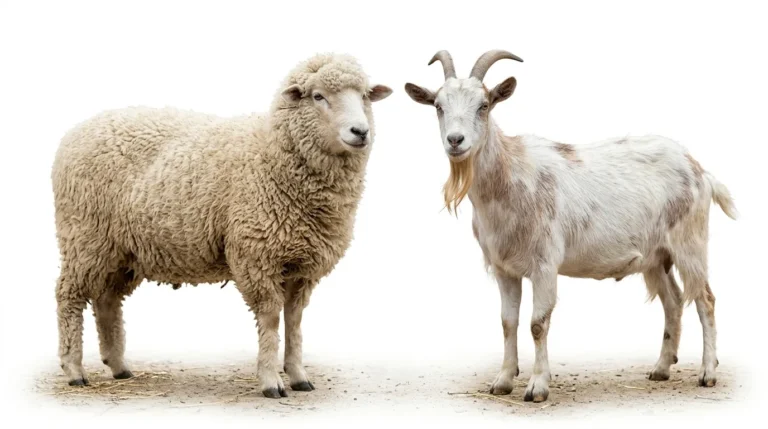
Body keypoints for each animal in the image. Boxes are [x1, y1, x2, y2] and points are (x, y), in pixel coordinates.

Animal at [51, 53, 392, 398]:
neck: (273, 152)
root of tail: (75, 131)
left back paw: (119, 367)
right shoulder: (256, 255)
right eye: (318, 96)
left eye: (365, 96)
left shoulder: (303, 265)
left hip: (121, 250)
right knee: (69, 297)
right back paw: (74, 369)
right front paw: (271, 381)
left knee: (107, 300)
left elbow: (294, 321)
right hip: (84, 237)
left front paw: (298, 376)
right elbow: (271, 318)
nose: (360, 131)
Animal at [405, 50, 737, 403]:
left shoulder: (545, 263)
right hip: (656, 257)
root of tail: (700, 170)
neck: (510, 176)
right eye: (438, 106)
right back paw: (660, 369)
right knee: (673, 301)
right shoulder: (504, 268)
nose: (456, 141)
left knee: (705, 300)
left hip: (690, 243)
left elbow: (537, 323)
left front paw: (537, 386)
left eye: (484, 105)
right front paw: (503, 381)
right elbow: (508, 323)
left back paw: (707, 373)